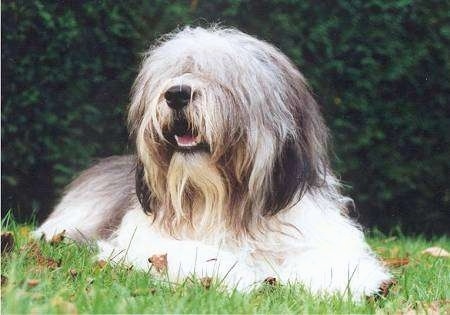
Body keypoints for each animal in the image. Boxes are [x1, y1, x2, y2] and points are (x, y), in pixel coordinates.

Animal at [35, 26, 390, 298]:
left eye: (224, 80)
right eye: (174, 73)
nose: (176, 93)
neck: (224, 202)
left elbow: (333, 257)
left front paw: (345, 285)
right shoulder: (146, 241)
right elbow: (190, 254)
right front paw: (239, 277)